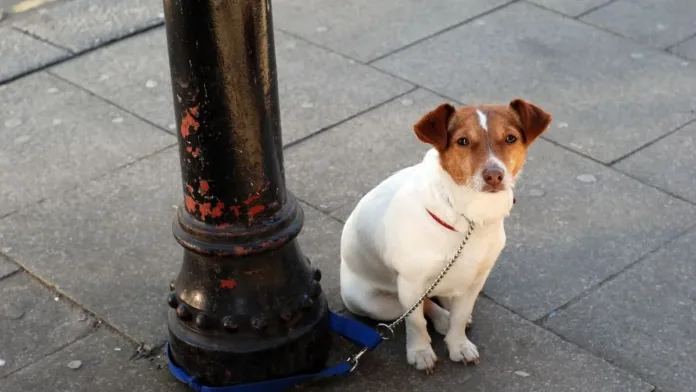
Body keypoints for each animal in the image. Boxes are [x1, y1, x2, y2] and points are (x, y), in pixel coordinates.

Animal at [340, 99, 552, 374]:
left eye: (510, 138)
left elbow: (460, 318)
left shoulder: (476, 280)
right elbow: (416, 322)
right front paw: (420, 351)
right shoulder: (410, 283)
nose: (494, 175)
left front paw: (458, 344)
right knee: (419, 307)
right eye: (462, 141)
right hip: (375, 302)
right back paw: (441, 318)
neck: (469, 219)